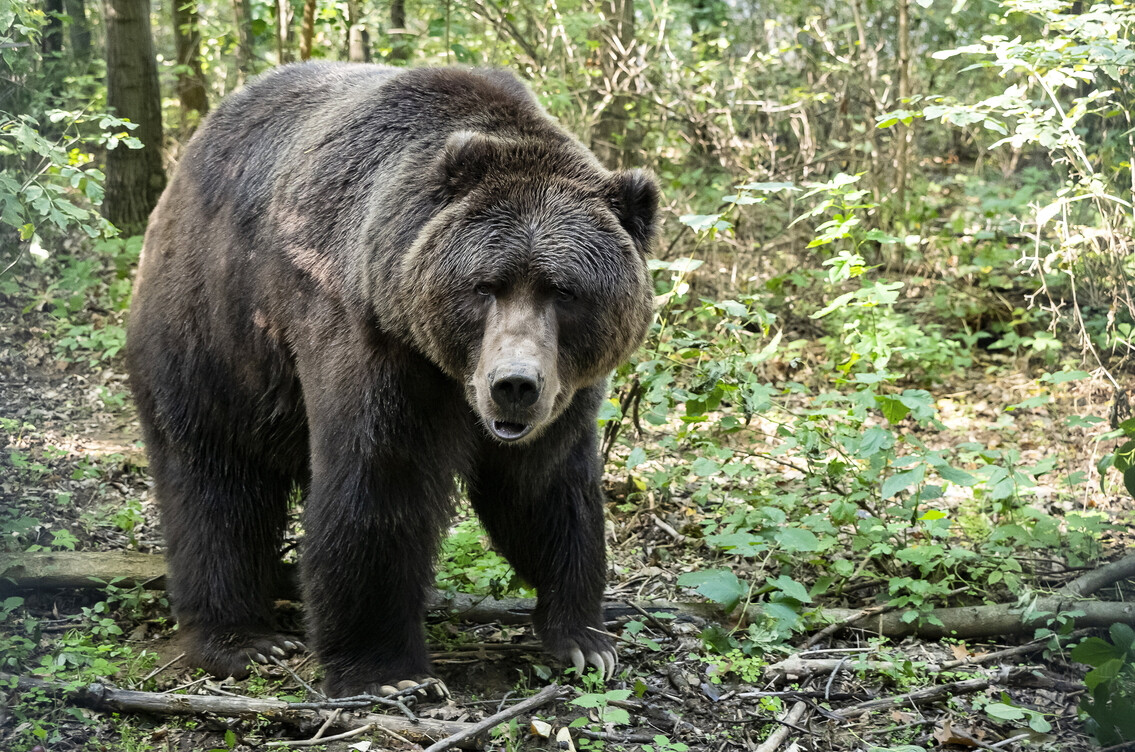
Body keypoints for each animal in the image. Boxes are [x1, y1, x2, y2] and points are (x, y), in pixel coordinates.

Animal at [124, 64, 658, 698]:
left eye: (565, 291)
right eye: (486, 285)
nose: (513, 384)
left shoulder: (564, 393)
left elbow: (546, 487)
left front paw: (584, 638)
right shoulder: (374, 342)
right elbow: (380, 482)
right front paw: (389, 672)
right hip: (214, 331)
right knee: (215, 479)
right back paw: (243, 638)